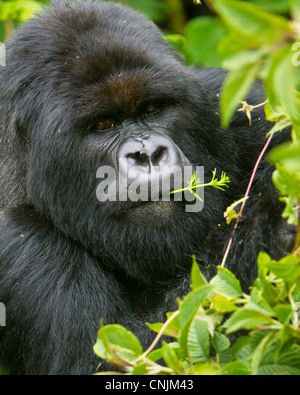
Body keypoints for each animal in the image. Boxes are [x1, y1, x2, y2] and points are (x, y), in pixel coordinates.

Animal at [0, 0, 296, 376]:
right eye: (103, 125)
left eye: (153, 109)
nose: (149, 155)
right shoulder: (19, 241)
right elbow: (129, 356)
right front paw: (268, 222)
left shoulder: (238, 110)